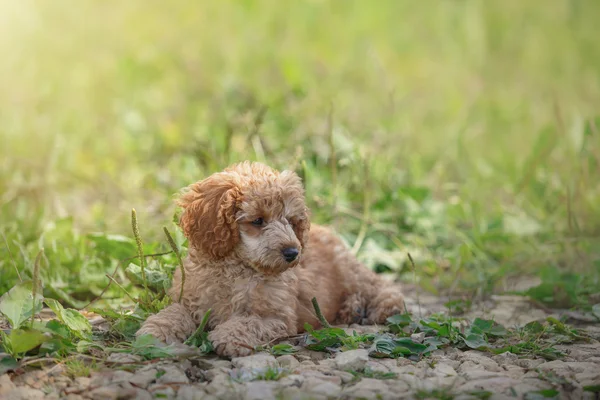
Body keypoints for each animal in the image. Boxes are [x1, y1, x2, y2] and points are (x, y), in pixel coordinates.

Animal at [138, 161, 406, 358]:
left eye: (290, 220)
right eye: (258, 221)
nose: (293, 253)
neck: (237, 268)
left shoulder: (278, 318)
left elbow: (249, 322)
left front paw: (229, 336)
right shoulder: (190, 298)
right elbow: (174, 312)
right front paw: (155, 329)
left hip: (350, 270)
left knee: (380, 285)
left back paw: (377, 307)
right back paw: (352, 309)